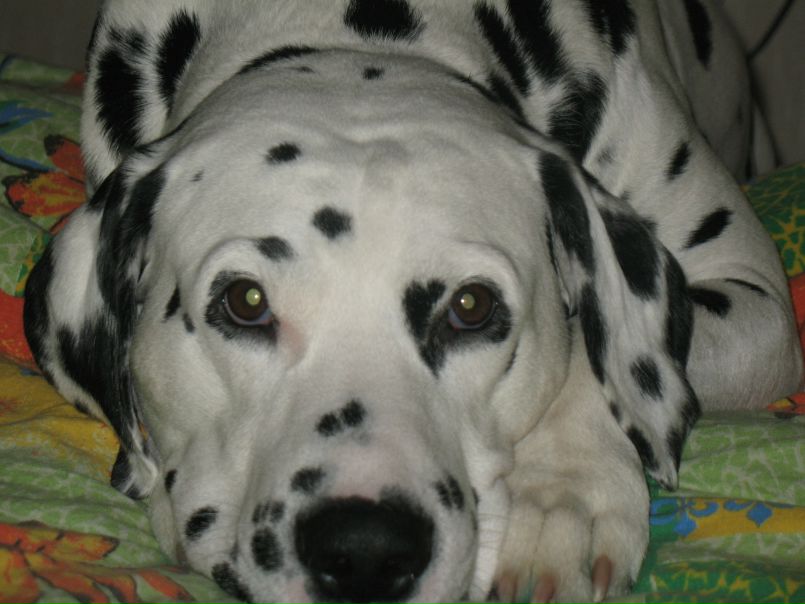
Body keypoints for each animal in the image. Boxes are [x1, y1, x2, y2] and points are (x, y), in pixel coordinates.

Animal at [23, 1, 803, 603]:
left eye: (471, 307)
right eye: (244, 300)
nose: (366, 551)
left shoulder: (759, 304)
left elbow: (591, 342)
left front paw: (563, 495)